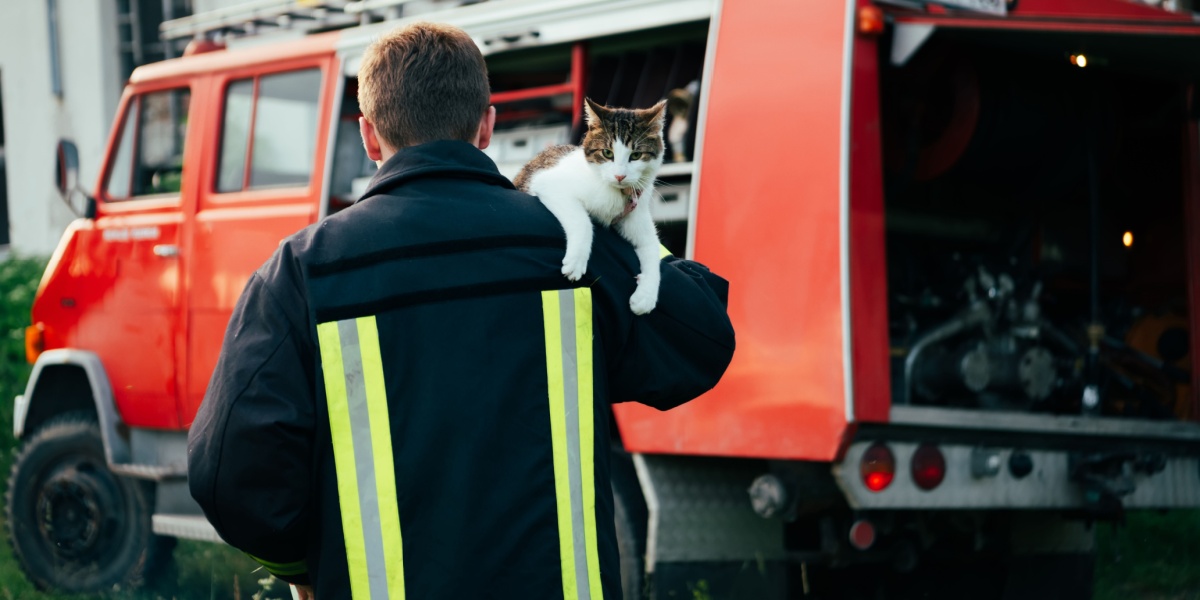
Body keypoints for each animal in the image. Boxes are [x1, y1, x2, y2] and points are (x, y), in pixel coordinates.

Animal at [513, 97, 667, 314]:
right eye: (607, 153)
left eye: (636, 155)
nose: (620, 176)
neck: (616, 194)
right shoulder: (548, 183)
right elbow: (583, 222)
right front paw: (577, 260)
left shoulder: (637, 213)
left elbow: (652, 247)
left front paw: (645, 296)